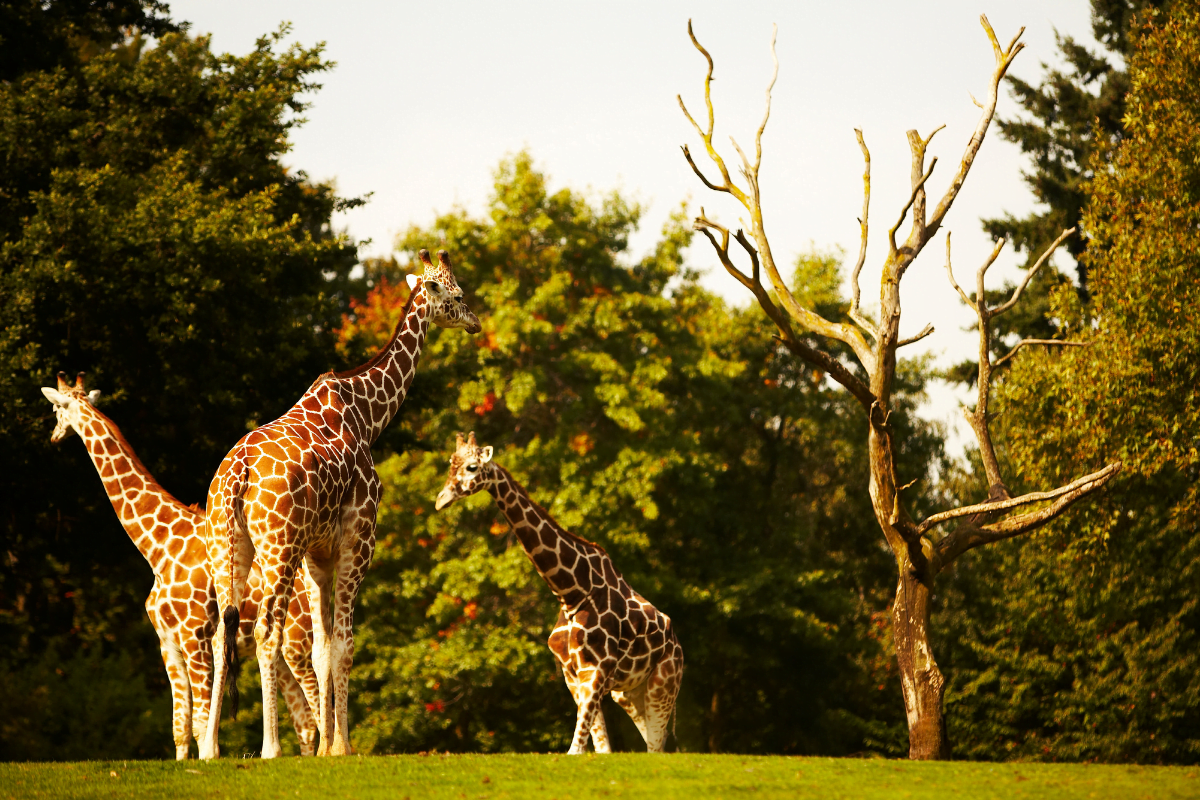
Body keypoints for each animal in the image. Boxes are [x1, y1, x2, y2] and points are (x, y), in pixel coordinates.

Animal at [42, 371, 324, 762]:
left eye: (56, 409)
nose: (54, 437)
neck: (158, 548)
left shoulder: (195, 638)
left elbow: (203, 719)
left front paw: (210, 756)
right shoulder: (168, 643)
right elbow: (181, 726)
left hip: (297, 641)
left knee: (315, 702)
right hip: (278, 654)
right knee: (304, 720)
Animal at [199, 247, 480, 762]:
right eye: (455, 295)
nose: (474, 321)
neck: (369, 414)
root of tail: (237, 477)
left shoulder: (318, 557)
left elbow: (321, 649)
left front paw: (328, 746)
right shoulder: (357, 539)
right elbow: (345, 645)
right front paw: (344, 747)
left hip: (229, 546)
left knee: (219, 634)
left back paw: (210, 749)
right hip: (279, 547)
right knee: (265, 631)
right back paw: (270, 748)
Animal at [439, 434, 686, 753]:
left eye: (471, 467)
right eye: (450, 463)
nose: (441, 499)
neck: (571, 592)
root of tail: (677, 644)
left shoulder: (596, 669)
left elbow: (576, 748)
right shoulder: (574, 677)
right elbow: (598, 749)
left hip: (663, 683)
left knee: (656, 746)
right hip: (629, 694)